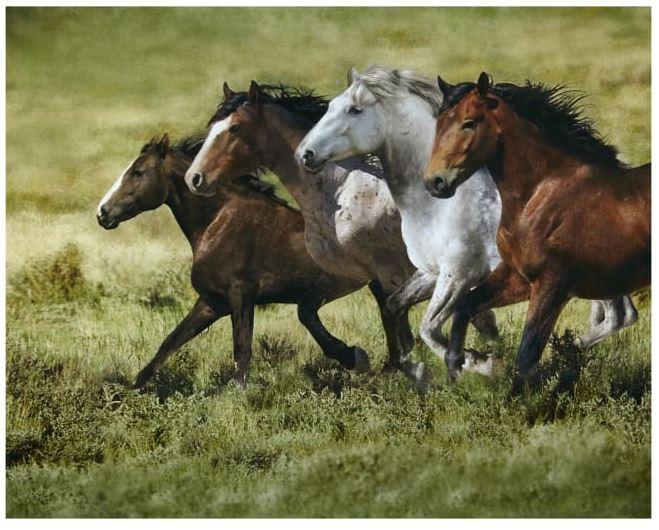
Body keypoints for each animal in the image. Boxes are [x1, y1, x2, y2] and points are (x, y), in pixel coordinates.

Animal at [97, 133, 367, 388]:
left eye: (138, 172)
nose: (103, 213)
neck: (219, 221)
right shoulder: (212, 302)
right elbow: (169, 343)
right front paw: (133, 390)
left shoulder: (241, 295)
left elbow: (242, 350)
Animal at [181, 81, 513, 386]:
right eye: (212, 127)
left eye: (235, 128)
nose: (194, 178)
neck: (339, 189)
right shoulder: (356, 274)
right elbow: (314, 312)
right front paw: (359, 358)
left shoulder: (390, 272)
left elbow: (399, 319)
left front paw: (417, 371)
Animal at [424, 72, 649, 388]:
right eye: (439, 124)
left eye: (469, 123)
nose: (435, 182)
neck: (542, 194)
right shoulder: (518, 277)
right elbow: (466, 306)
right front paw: (461, 365)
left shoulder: (552, 285)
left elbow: (526, 356)